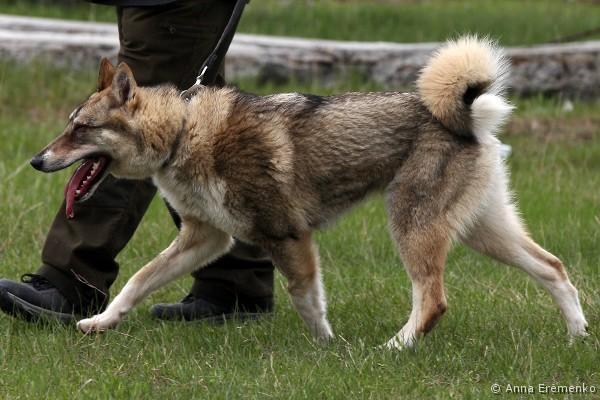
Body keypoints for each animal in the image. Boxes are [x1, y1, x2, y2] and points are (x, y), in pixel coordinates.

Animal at [30, 37, 588, 349]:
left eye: (80, 129)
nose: (37, 161)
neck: (184, 130)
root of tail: (470, 114)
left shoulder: (287, 237)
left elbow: (305, 300)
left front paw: (328, 347)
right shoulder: (204, 239)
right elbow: (138, 281)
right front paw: (100, 321)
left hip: (413, 227)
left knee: (433, 301)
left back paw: (393, 349)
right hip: (482, 231)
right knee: (555, 269)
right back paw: (578, 337)